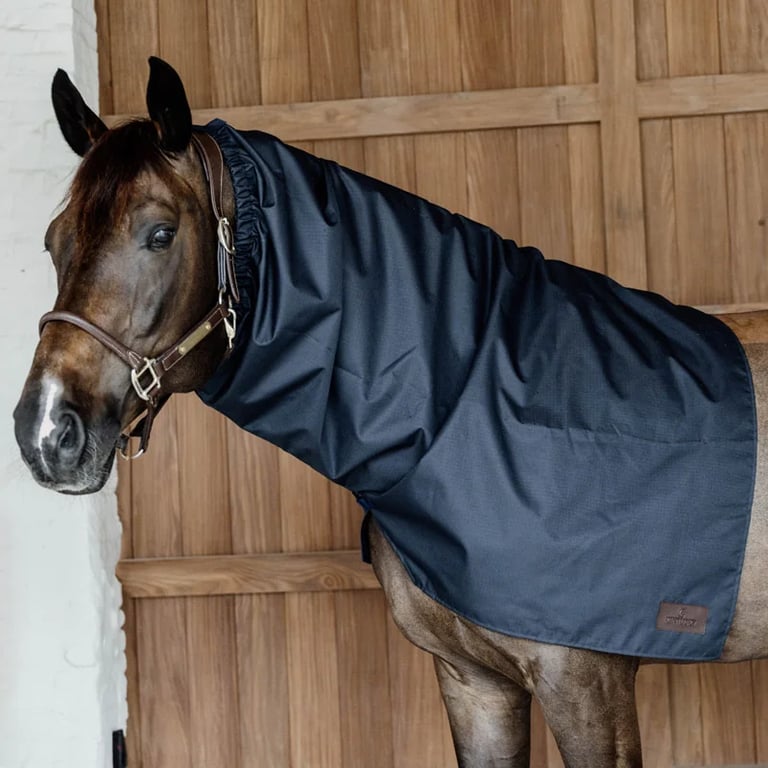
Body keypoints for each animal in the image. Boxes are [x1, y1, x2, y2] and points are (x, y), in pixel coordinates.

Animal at [13, 57, 768, 767]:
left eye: (160, 234)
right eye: (53, 241)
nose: (45, 430)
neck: (467, 401)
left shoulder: (587, 686)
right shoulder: (474, 683)